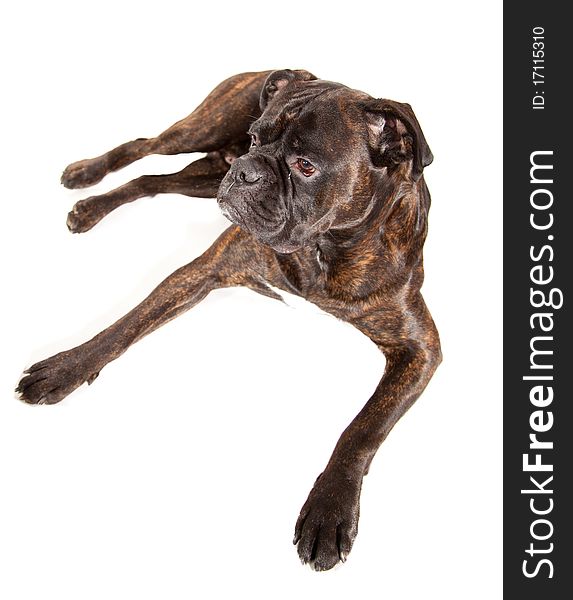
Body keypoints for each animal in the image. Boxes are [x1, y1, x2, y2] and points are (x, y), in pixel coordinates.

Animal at [15, 70, 440, 572]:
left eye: (305, 165)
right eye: (256, 138)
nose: (246, 168)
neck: (325, 247)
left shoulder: (420, 348)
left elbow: (364, 428)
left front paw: (330, 510)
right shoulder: (203, 271)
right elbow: (124, 327)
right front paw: (64, 369)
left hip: (203, 177)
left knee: (151, 179)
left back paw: (92, 204)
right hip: (198, 134)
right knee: (142, 146)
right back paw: (85, 181)